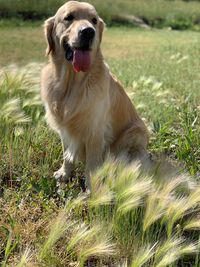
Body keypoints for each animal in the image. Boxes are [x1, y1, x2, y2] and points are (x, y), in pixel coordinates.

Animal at [41, 0, 148, 191]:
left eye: (94, 20)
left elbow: (91, 165)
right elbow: (67, 154)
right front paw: (65, 173)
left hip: (134, 133)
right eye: (69, 17)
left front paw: (92, 190)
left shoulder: (94, 132)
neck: (71, 83)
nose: (88, 31)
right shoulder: (65, 129)